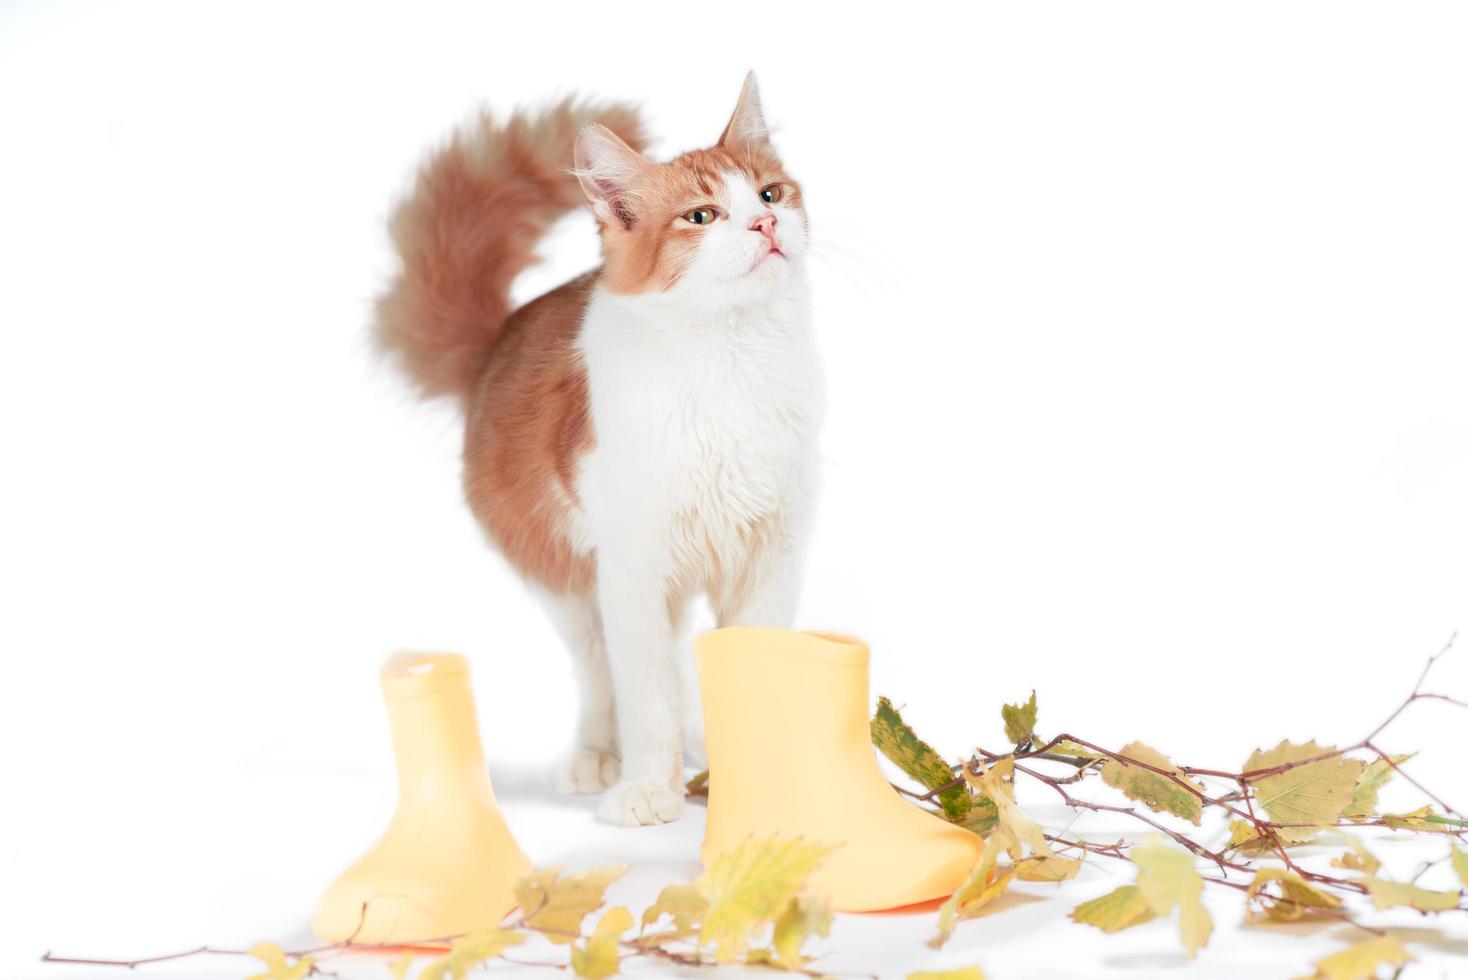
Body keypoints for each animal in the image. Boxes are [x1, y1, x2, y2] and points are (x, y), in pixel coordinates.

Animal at [372, 74, 822, 827]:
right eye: (701, 216)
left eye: (768, 194)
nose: (763, 227)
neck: (729, 357)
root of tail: (496, 341)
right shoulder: (634, 564)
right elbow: (644, 694)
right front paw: (647, 789)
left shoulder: (770, 555)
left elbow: (752, 670)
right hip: (567, 575)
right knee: (600, 672)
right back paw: (598, 757)